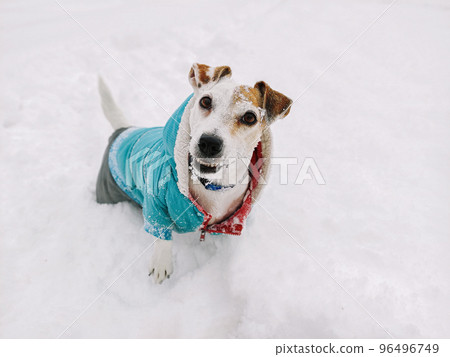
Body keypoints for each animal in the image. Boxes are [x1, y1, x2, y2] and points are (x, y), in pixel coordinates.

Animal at [96, 62, 292, 282]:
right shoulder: (156, 202)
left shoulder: (234, 220)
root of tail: (124, 130)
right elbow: (161, 232)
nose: (209, 143)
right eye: (206, 101)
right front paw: (161, 262)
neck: (213, 186)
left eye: (249, 117)